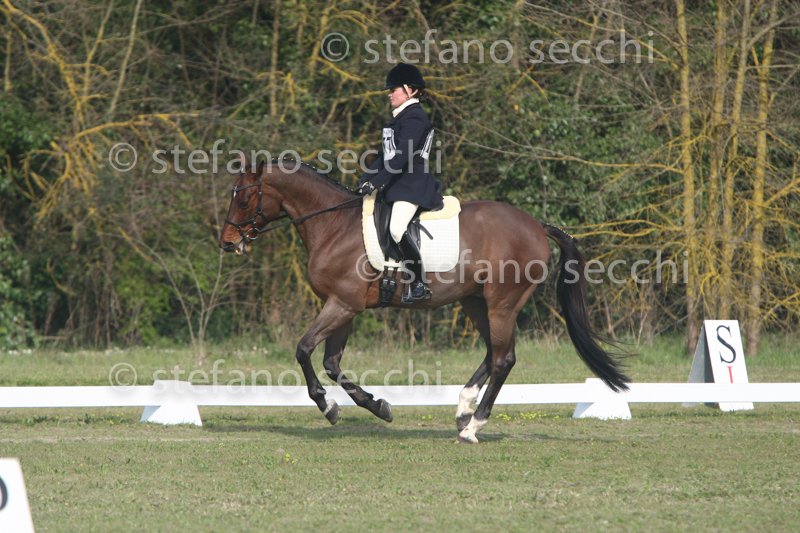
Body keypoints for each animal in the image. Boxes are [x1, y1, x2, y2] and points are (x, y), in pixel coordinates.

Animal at [219, 159, 629, 443]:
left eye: (244, 197)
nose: (227, 243)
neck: (333, 226)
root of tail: (536, 226)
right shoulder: (346, 307)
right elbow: (332, 364)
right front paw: (376, 406)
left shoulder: (342, 305)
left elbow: (304, 350)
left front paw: (329, 407)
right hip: (475, 302)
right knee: (492, 354)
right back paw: (463, 409)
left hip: (502, 303)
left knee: (504, 359)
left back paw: (473, 426)